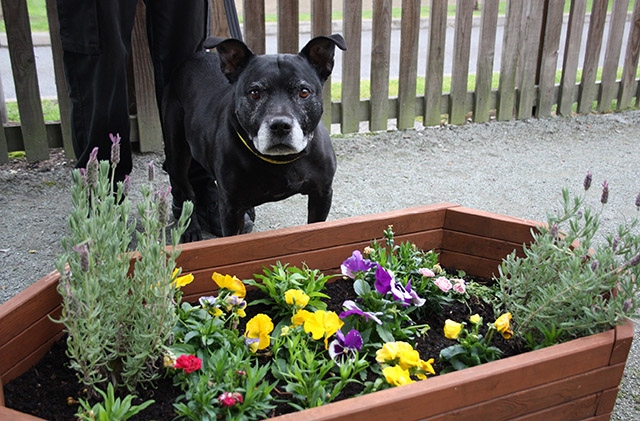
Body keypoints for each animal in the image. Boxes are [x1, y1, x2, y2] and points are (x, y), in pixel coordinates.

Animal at [162, 34, 348, 241]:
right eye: (255, 93)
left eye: (304, 92)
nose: (280, 125)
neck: (281, 161)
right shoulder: (230, 210)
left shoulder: (321, 194)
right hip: (177, 153)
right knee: (185, 191)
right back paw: (189, 229)